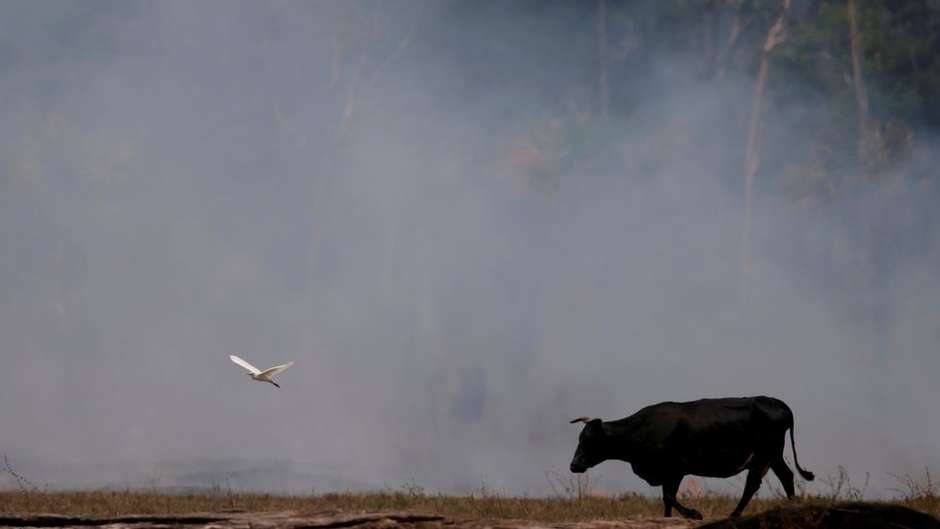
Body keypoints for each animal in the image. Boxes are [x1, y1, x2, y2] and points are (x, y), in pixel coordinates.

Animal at [564, 394, 816, 516]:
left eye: (587, 439)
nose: (574, 465)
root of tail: (775, 401)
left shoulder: (675, 469)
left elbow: (669, 497)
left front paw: (694, 514)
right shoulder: (667, 474)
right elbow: (666, 500)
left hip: (769, 453)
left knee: (774, 479)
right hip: (766, 457)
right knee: (767, 481)